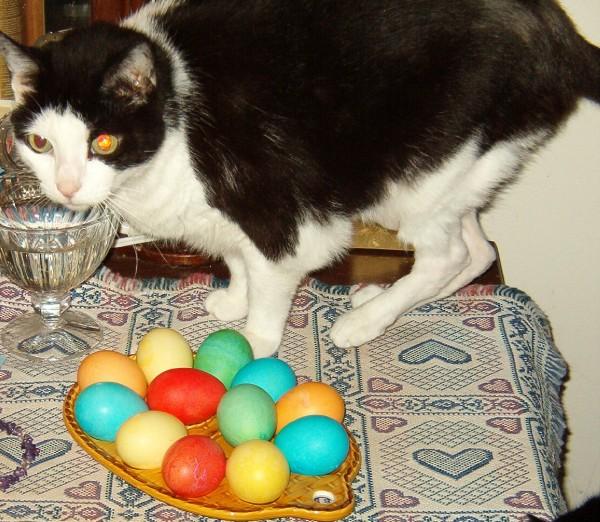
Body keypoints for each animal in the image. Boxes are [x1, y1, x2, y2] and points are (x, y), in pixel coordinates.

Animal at [1, 0, 599, 358]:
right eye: (40, 143)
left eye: (103, 142)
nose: (66, 188)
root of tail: (561, 32)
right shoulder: (226, 215)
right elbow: (240, 259)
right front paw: (234, 300)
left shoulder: (279, 210)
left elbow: (272, 272)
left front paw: (256, 339)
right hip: (456, 174)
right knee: (478, 251)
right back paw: (377, 301)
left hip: (423, 171)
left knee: (448, 254)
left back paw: (361, 323)